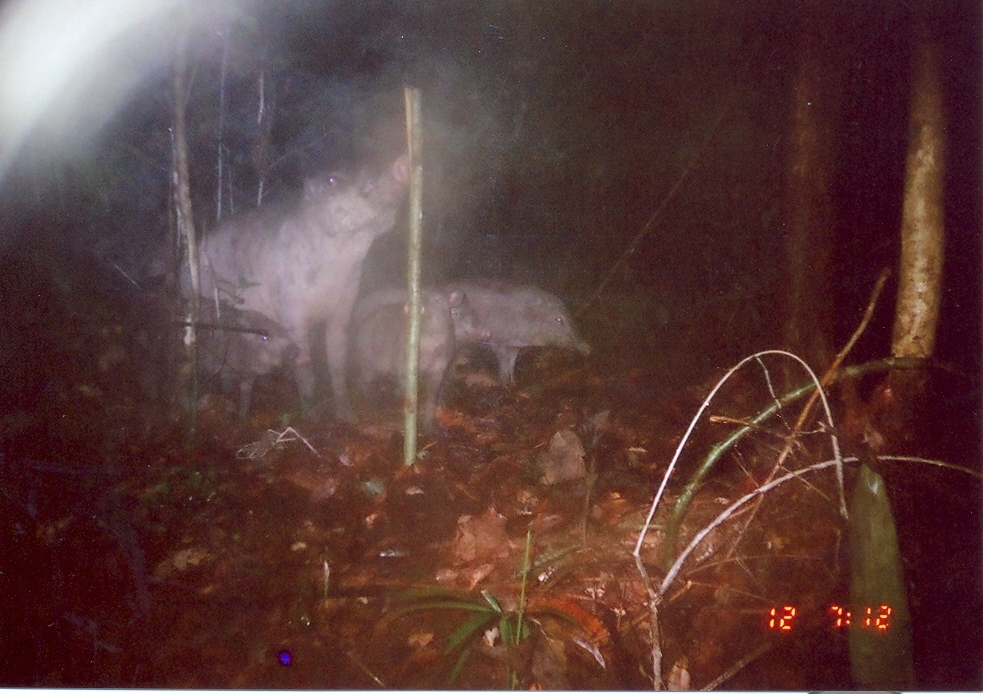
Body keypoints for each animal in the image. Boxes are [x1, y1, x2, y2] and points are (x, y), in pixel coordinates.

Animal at [196, 154, 412, 422]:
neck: (341, 261)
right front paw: (312, 418)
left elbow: (338, 361)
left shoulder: (345, 304)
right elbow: (305, 367)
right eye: (332, 180)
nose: (402, 159)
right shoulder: (291, 310)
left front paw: (347, 417)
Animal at [352, 286, 486, 430]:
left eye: (439, 300)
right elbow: (409, 392)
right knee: (364, 381)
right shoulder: (403, 363)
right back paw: (373, 405)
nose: (486, 332)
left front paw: (430, 427)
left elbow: (432, 396)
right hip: (366, 360)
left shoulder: (440, 367)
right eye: (419, 296)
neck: (430, 346)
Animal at [440, 282, 592, 386]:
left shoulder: (515, 345)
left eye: (568, 314)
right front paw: (503, 383)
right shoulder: (497, 340)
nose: (588, 348)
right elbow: (504, 360)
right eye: (559, 320)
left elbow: (512, 361)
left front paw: (513, 383)